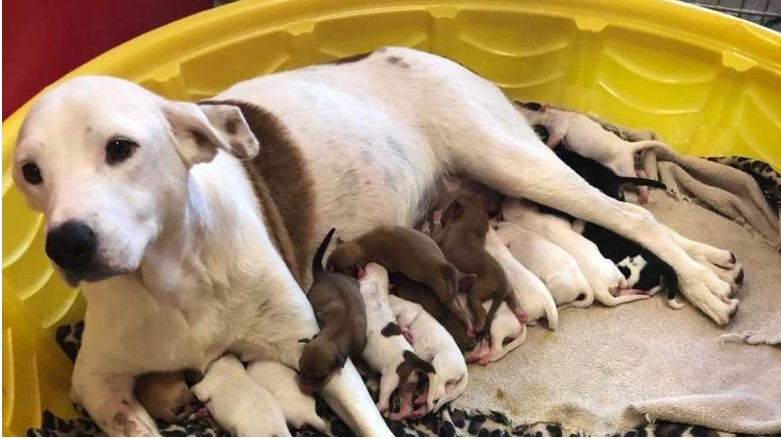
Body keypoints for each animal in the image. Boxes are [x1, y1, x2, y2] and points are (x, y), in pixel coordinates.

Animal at [298, 229, 368, 394]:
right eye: (300, 369)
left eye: (320, 377)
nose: (304, 386)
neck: (337, 332)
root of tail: (324, 275)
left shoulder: (360, 343)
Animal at [326, 225, 472, 338]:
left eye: (339, 270)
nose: (325, 274)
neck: (359, 246)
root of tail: (442, 264)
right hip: (449, 275)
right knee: (460, 283)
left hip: (440, 287)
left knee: (456, 308)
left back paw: (468, 325)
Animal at [356, 262, 436, 418]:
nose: (369, 262)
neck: (377, 285)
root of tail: (413, 360)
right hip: (408, 385)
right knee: (407, 407)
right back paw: (397, 415)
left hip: (389, 379)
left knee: (384, 403)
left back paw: (378, 407)